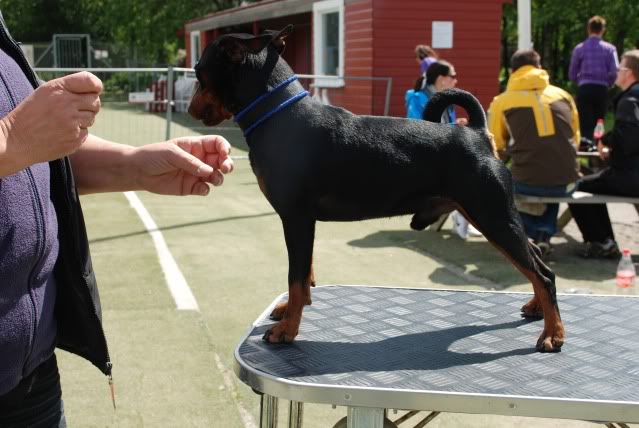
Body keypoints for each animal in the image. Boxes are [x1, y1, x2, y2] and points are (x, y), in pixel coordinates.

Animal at [190, 25, 564, 352]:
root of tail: (477, 133)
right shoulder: (301, 223)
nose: (192, 108)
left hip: (492, 216)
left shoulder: (296, 219)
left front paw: (287, 330)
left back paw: (553, 334)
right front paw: (291, 312)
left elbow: (296, 277)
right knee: (537, 257)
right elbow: (305, 274)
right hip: (493, 216)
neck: (278, 115)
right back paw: (537, 309)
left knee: (542, 272)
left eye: (198, 72)